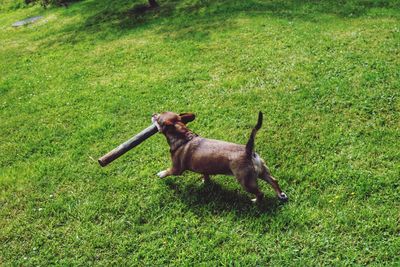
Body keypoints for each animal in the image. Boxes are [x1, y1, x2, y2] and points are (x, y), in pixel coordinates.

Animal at [152, 111, 288, 203]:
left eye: (158, 117)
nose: (153, 114)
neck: (184, 136)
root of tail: (248, 150)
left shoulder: (176, 169)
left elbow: (168, 171)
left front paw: (161, 174)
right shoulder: (203, 167)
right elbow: (205, 175)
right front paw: (205, 182)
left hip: (246, 182)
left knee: (260, 193)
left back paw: (255, 201)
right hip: (262, 171)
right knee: (274, 181)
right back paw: (280, 195)